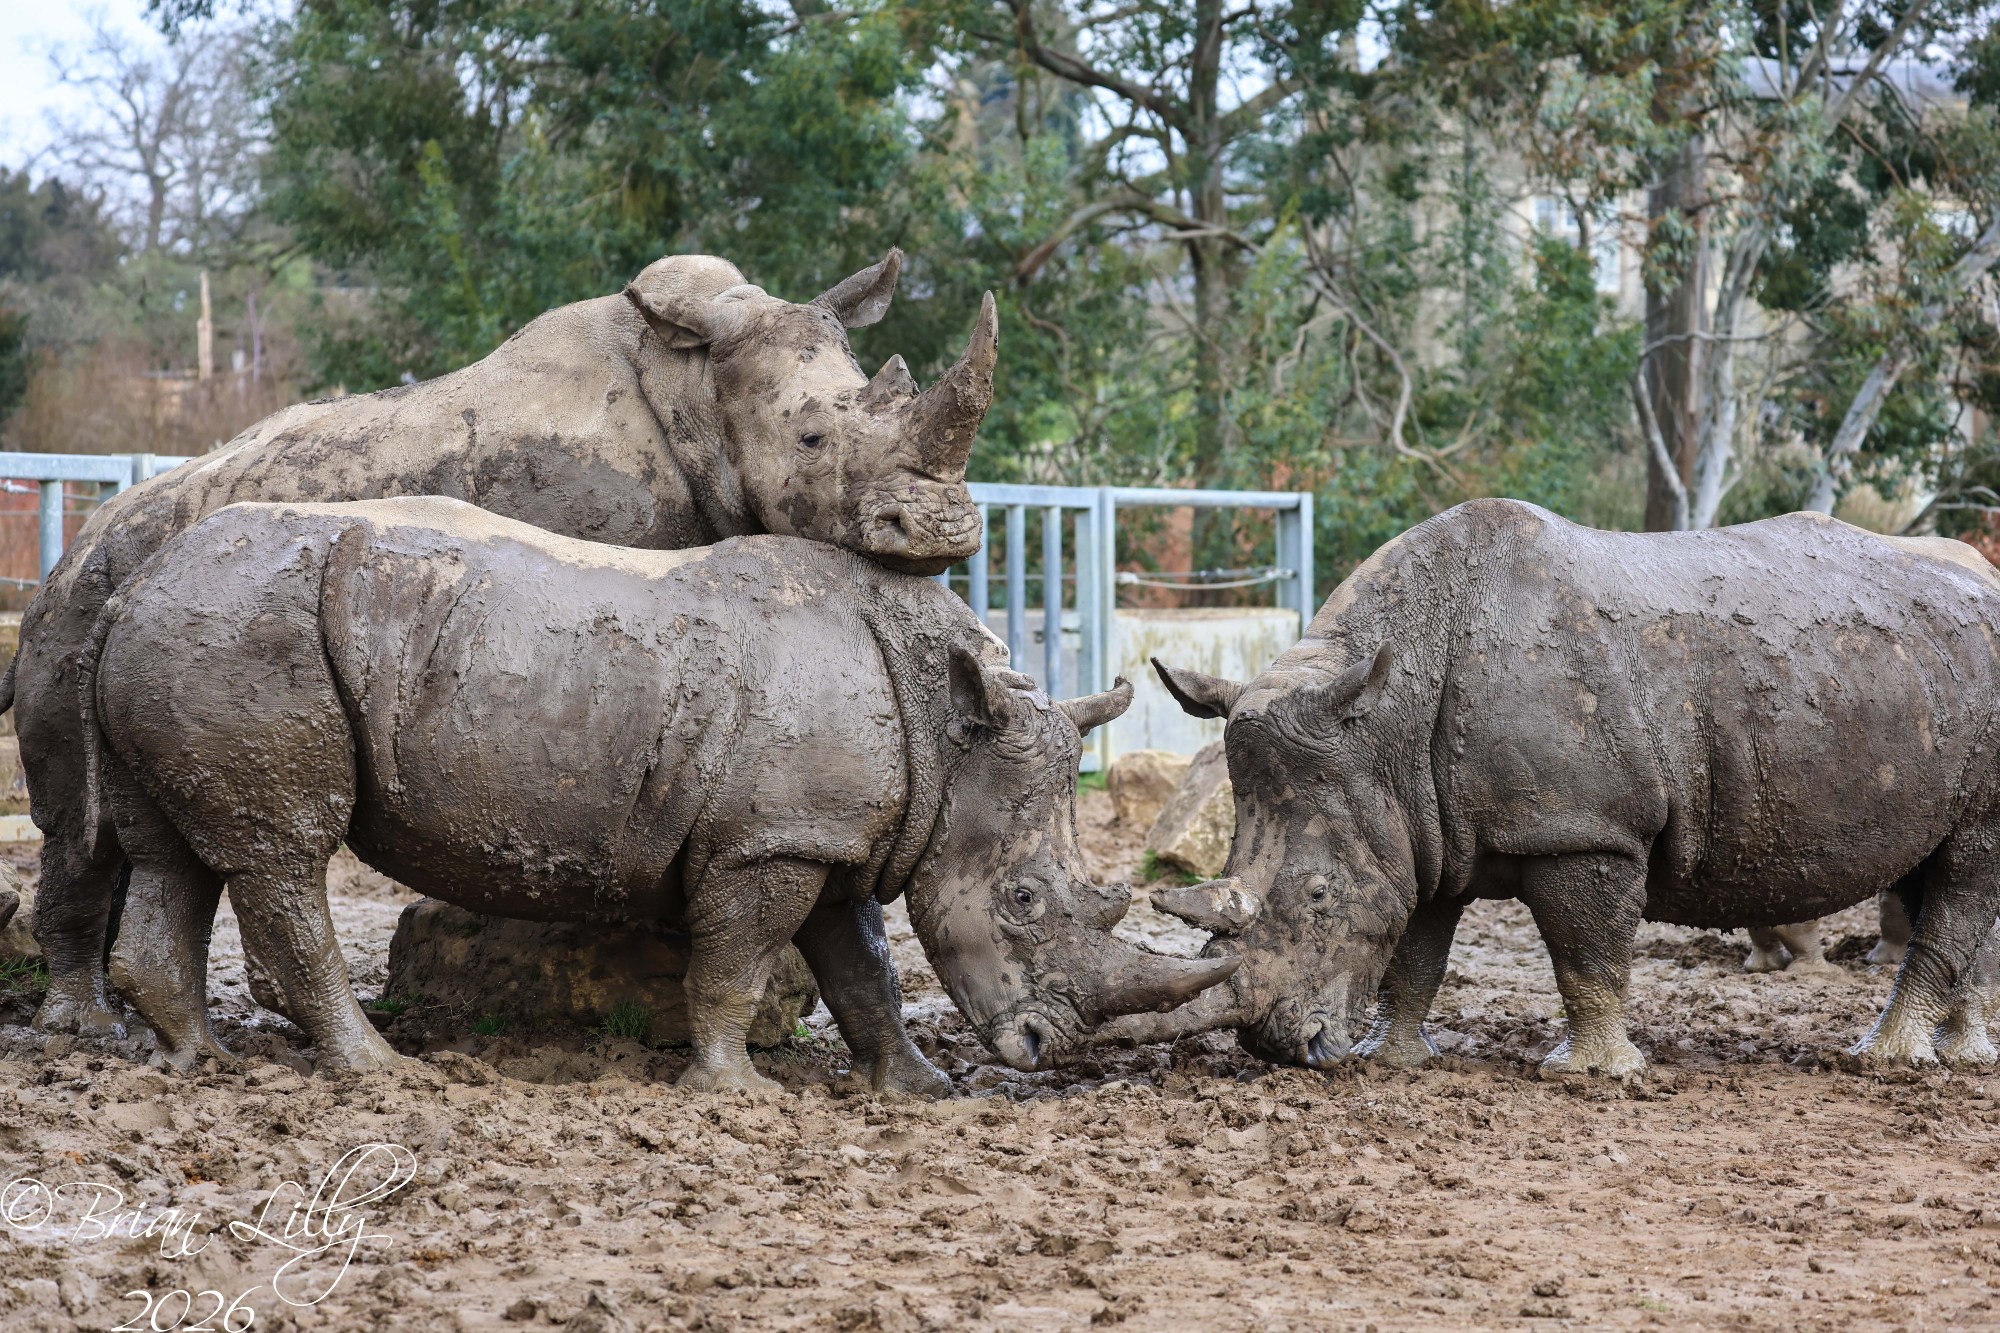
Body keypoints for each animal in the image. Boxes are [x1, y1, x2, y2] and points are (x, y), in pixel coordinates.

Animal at [13, 249, 998, 1041]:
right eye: (813, 438)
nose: (946, 527)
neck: (699, 387)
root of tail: (83, 540)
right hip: (80, 601)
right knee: (79, 812)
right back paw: (84, 1027)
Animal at [79, 498, 1234, 1088]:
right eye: (1025, 902)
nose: (1047, 1049)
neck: (952, 734)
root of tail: (130, 582)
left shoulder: (827, 834)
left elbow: (861, 966)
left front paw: (919, 1088)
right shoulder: (772, 840)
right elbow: (738, 963)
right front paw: (736, 1094)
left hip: (197, 630)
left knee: (173, 851)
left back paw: (196, 1061)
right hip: (250, 630)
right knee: (283, 853)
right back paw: (383, 1074)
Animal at [1113, 499, 2000, 1074]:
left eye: (1322, 897)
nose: (1274, 1045)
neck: (1384, 726)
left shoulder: (1583, 825)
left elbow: (1586, 951)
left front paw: (1590, 1072)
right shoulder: (1420, 821)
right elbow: (1416, 943)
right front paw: (1390, 1056)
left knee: (1966, 866)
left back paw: (1884, 1061)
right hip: (1921, 680)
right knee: (1946, 868)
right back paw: (1963, 1057)